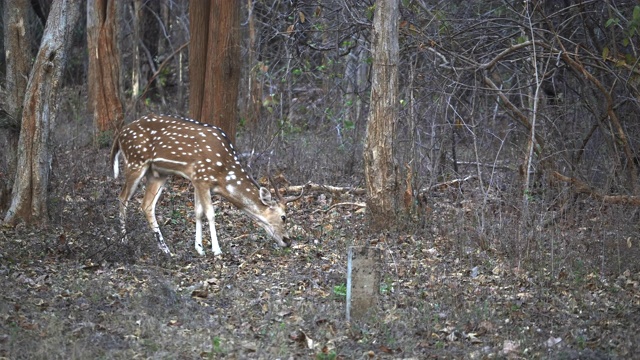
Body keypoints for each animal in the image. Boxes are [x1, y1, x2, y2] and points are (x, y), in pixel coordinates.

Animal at [110, 114, 302, 255]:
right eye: (283, 217)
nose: (288, 240)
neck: (224, 175)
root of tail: (119, 135)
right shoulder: (202, 177)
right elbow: (210, 213)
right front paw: (216, 250)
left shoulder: (197, 179)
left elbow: (198, 212)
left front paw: (199, 249)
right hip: (136, 161)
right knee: (122, 198)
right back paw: (124, 240)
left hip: (158, 174)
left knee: (146, 205)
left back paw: (166, 250)